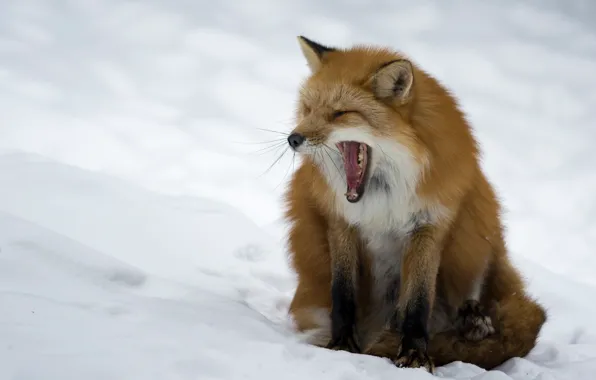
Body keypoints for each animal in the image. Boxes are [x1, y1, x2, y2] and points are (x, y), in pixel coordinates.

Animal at [282, 35, 548, 372]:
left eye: (340, 114)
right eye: (308, 109)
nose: (293, 139)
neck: (382, 200)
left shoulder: (429, 225)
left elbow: (418, 302)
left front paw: (415, 355)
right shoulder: (341, 223)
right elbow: (343, 294)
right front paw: (341, 345)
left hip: (475, 224)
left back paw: (474, 324)